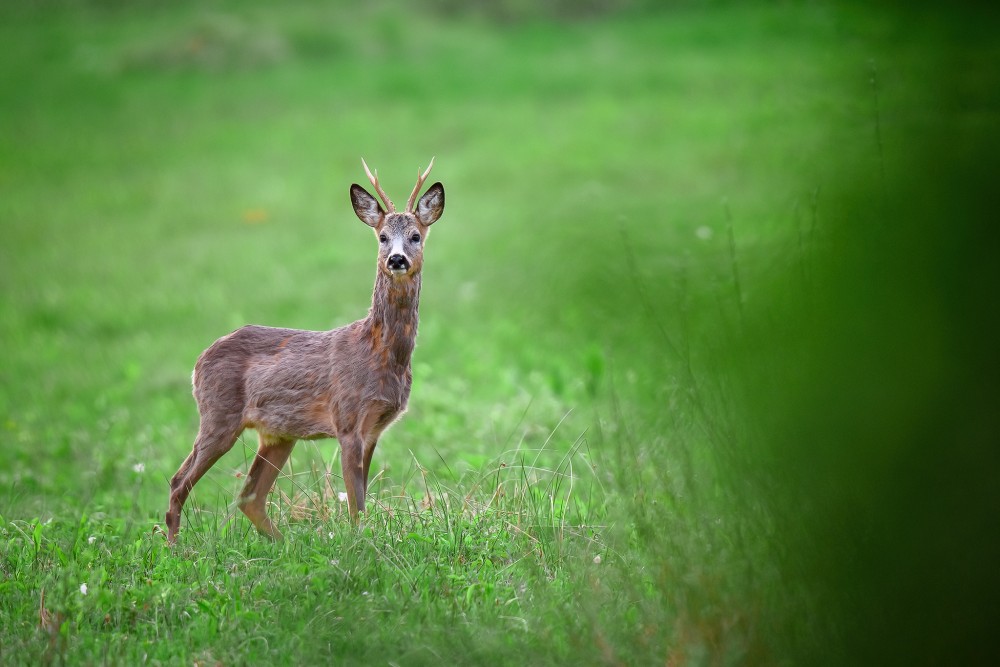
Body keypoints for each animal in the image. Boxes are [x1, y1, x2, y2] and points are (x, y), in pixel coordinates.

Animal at [165, 160, 446, 544]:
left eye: (416, 235)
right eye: (382, 237)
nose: (397, 259)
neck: (381, 353)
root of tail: (199, 360)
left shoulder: (375, 427)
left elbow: (361, 499)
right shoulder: (347, 419)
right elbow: (356, 505)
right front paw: (359, 545)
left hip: (278, 434)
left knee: (249, 496)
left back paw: (282, 544)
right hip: (218, 414)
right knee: (179, 481)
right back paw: (177, 549)